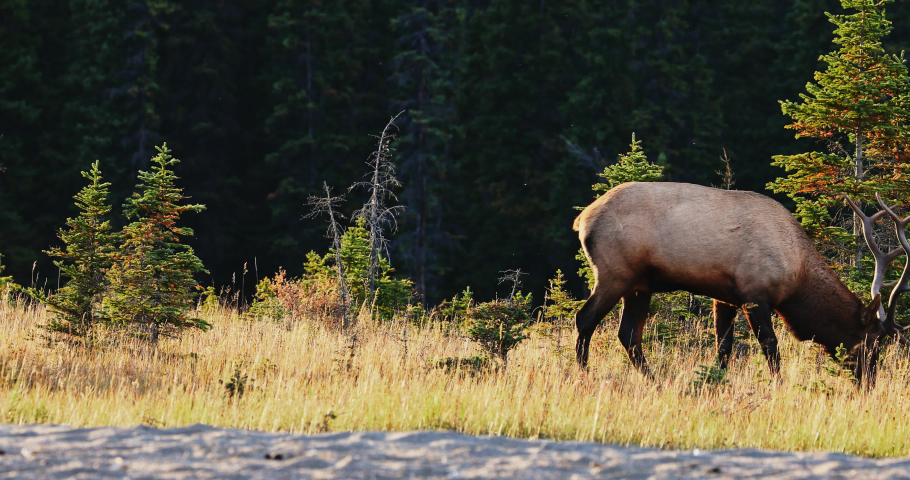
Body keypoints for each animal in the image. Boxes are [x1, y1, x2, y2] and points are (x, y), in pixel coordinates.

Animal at [573, 182, 910, 388]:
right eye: (871, 342)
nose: (870, 382)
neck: (796, 278)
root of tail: (583, 219)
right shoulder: (755, 295)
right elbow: (771, 348)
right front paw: (778, 387)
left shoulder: (724, 297)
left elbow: (724, 347)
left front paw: (714, 381)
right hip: (614, 274)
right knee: (585, 318)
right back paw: (584, 374)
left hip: (639, 286)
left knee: (629, 333)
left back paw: (655, 381)